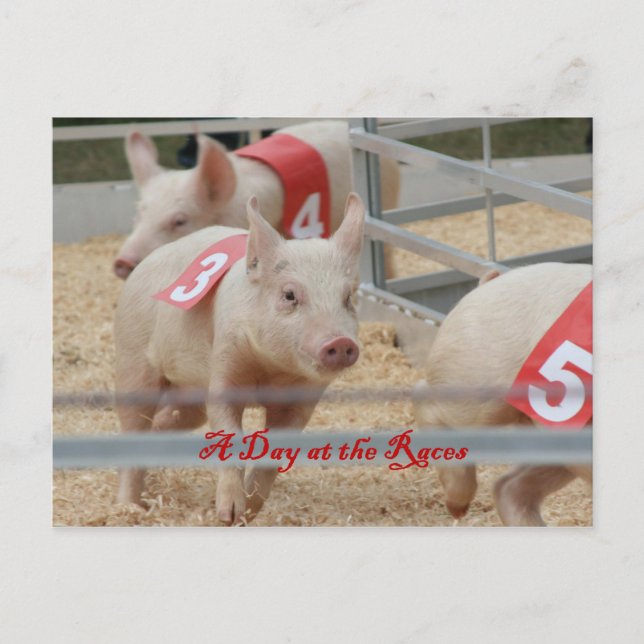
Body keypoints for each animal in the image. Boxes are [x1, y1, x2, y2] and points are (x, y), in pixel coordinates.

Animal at [114, 192, 365, 525]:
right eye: (289, 295)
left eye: (348, 298)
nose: (340, 341)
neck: (271, 371)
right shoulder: (225, 365)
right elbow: (230, 432)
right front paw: (228, 515)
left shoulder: (302, 400)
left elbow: (275, 454)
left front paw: (250, 511)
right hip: (132, 359)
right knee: (134, 423)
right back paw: (129, 508)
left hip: (190, 395)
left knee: (164, 422)